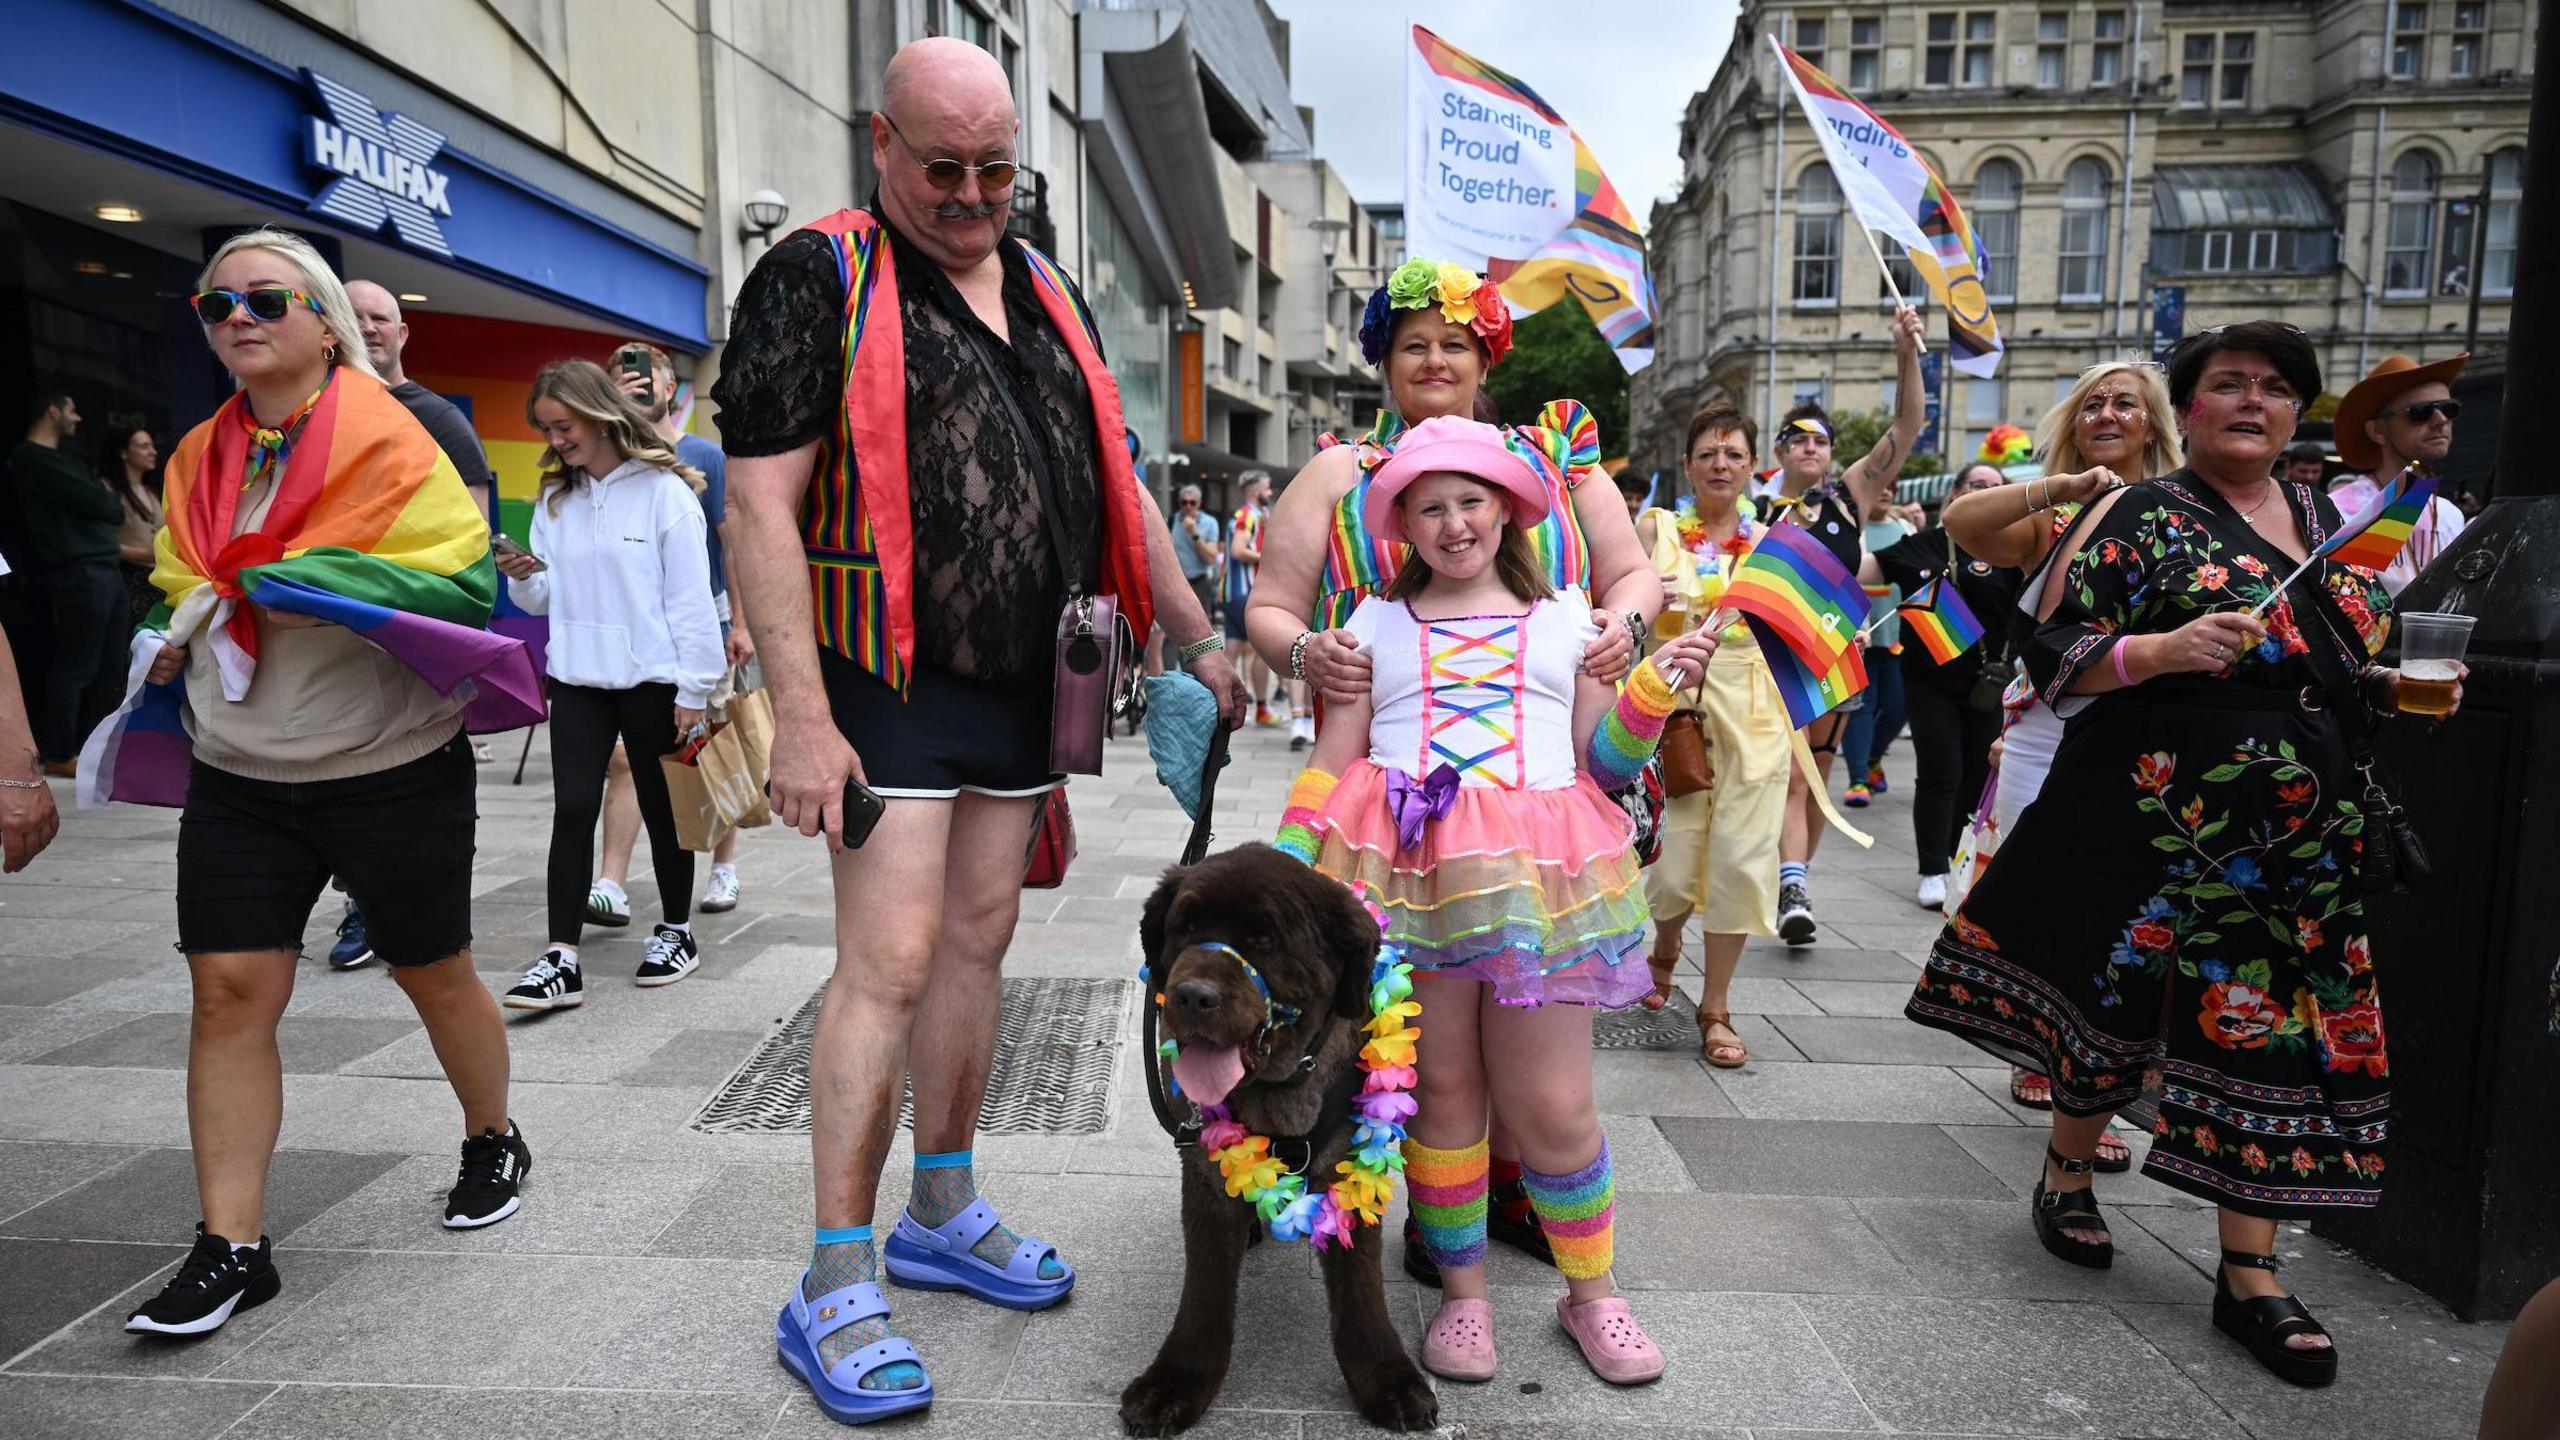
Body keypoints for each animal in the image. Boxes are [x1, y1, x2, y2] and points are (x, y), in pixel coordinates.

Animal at [1121, 835, 1443, 1424]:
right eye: (1186, 927)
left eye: (1264, 938)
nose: (1192, 995)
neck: (1281, 1094)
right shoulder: (1204, 1177)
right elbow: (1204, 1296)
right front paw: (1175, 1383)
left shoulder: (1349, 1175)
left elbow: (1362, 1292)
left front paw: (1388, 1379)